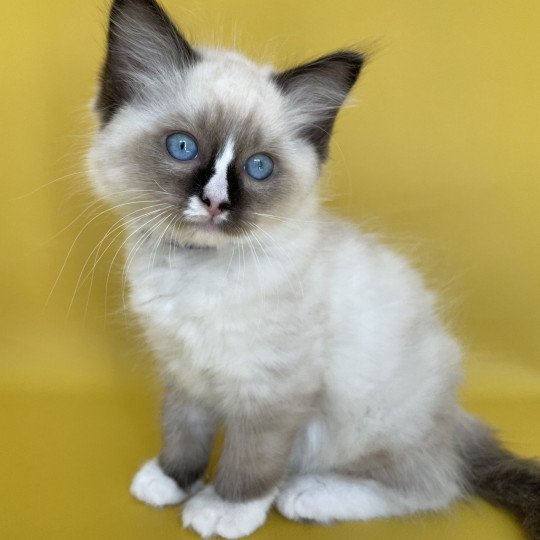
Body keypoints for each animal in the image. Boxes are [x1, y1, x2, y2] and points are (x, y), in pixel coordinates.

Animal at [87, 1, 540, 540]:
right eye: (182, 148)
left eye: (259, 167)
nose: (216, 203)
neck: (195, 267)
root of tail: (453, 414)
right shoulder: (183, 370)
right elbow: (184, 432)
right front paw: (171, 481)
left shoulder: (274, 387)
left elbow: (251, 461)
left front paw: (225, 510)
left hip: (366, 418)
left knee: (432, 484)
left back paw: (310, 495)